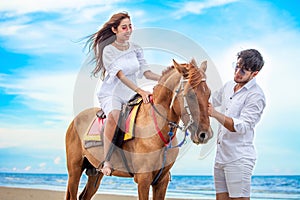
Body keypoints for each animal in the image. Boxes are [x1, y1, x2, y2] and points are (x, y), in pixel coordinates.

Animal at [64, 58, 212, 199]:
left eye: (209, 94)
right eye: (190, 94)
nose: (205, 134)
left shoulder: (162, 181)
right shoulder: (143, 179)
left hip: (95, 172)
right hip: (75, 170)